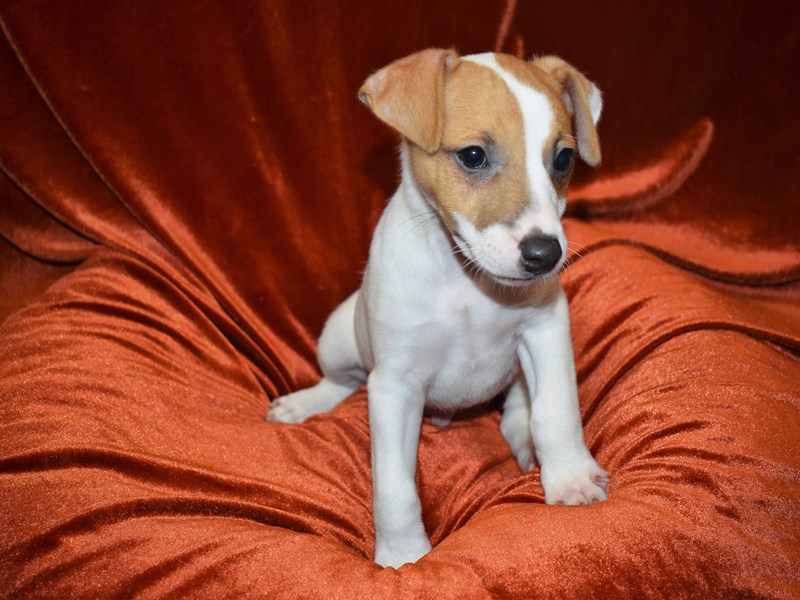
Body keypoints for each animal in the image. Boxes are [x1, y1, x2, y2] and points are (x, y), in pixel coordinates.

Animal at [272, 49, 608, 568]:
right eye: (473, 156)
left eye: (564, 158)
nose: (545, 255)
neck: (465, 282)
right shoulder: (393, 386)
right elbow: (394, 486)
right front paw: (402, 556)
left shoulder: (545, 329)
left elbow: (555, 411)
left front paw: (570, 475)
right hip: (337, 340)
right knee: (339, 381)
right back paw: (304, 403)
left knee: (517, 403)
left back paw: (523, 438)